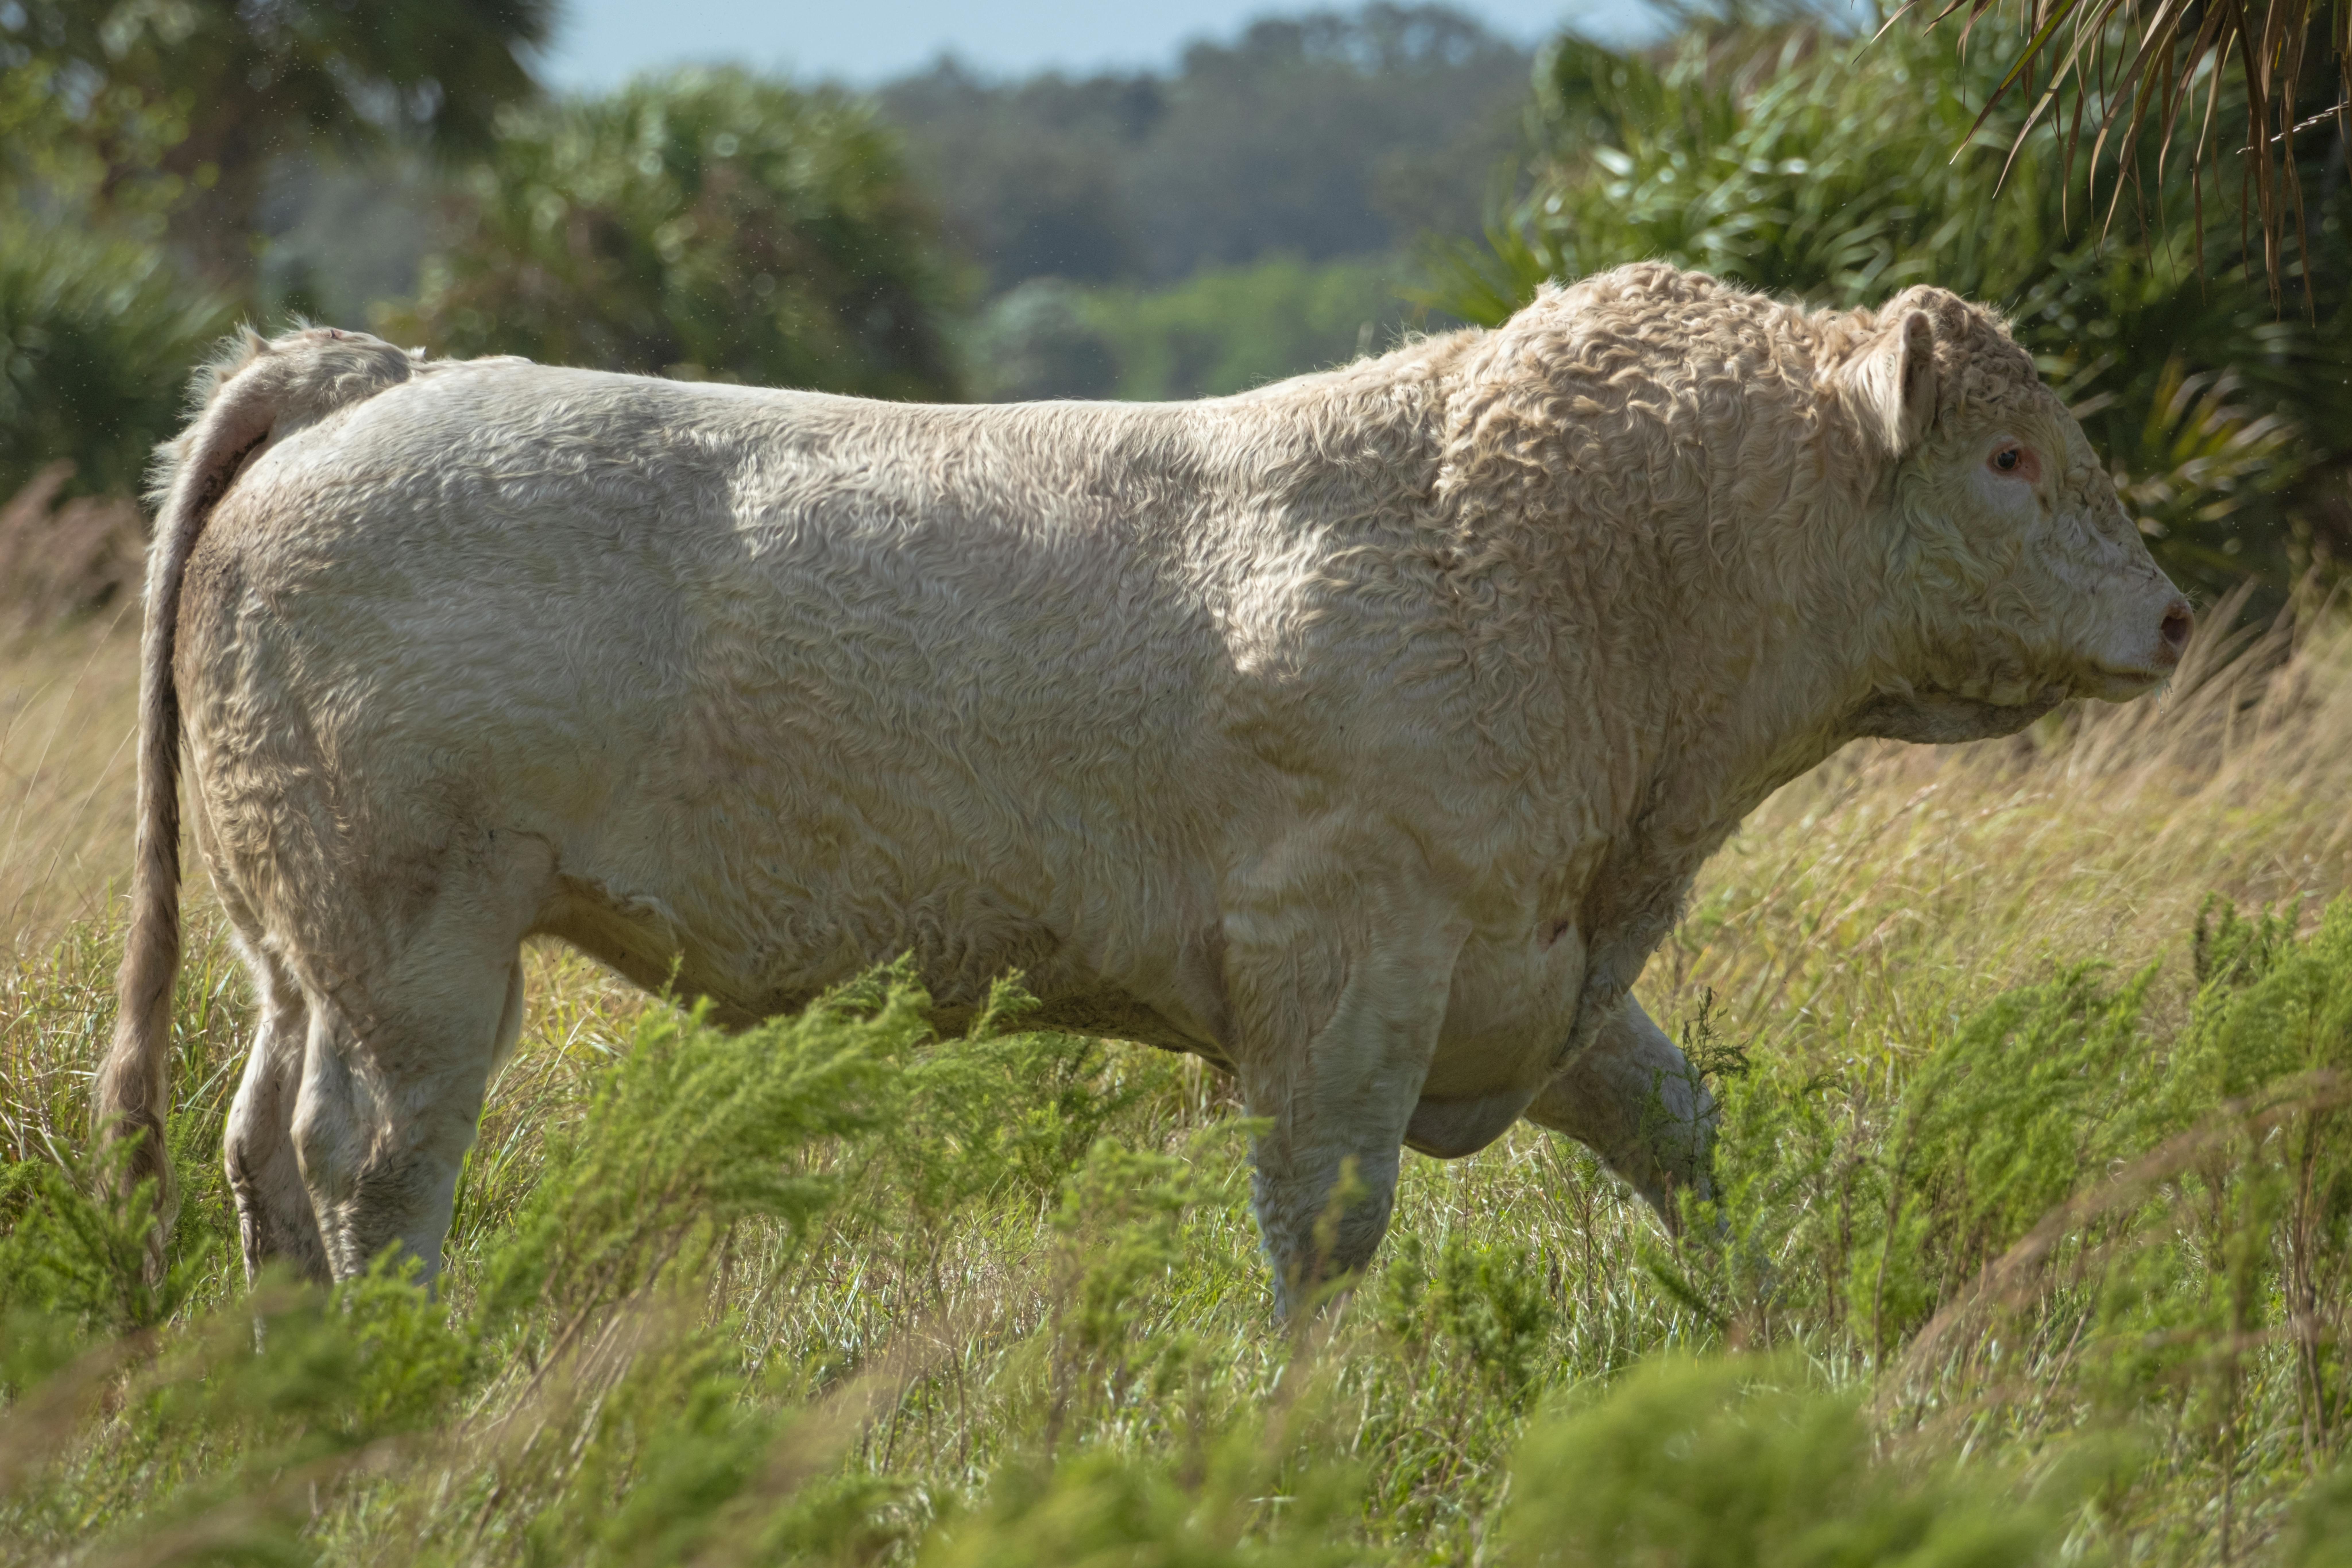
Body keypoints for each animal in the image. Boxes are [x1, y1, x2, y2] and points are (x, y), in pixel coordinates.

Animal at [94, 264, 2191, 1310]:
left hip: (302, 940)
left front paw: (1790, 1337)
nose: (2167, 614)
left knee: (260, 1148)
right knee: (373, 1164)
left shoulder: (1525, 959)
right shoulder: (1345, 964)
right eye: (2007, 459)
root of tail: (378, 377)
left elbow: (1680, 1136)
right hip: (421, 938)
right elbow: (1322, 1230)